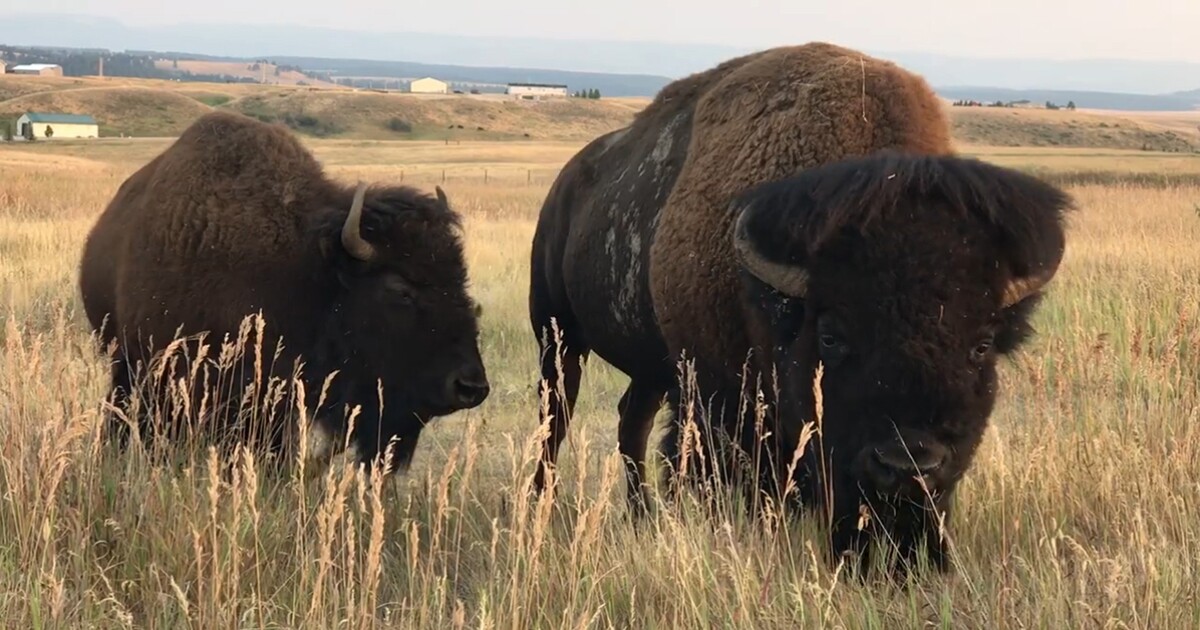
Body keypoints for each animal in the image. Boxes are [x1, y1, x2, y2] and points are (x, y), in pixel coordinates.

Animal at [528, 42, 1070, 572]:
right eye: (830, 336)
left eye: (982, 344)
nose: (906, 465)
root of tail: (566, 183)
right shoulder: (712, 399)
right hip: (558, 337)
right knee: (555, 419)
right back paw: (540, 508)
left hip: (649, 369)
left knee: (630, 422)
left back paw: (640, 515)